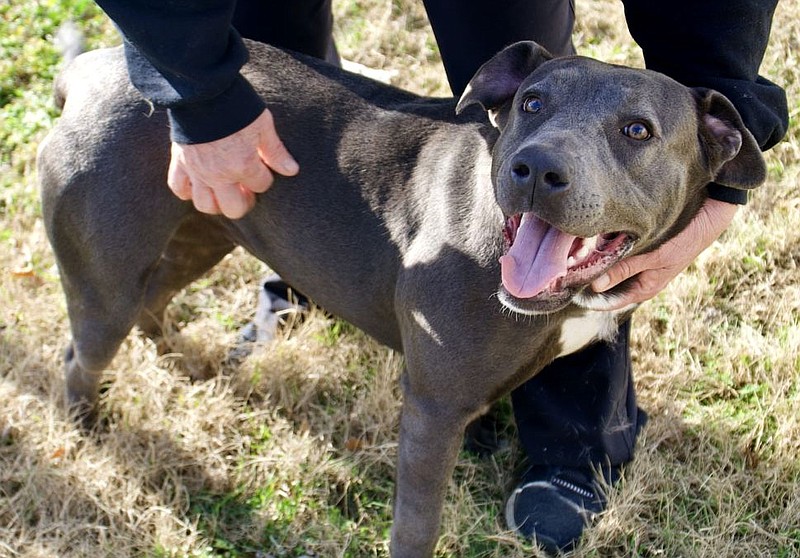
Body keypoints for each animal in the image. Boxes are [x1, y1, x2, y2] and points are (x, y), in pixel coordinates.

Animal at [40, 41, 764, 556]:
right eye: (531, 104)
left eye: (638, 131)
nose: (536, 168)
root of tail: (89, 70)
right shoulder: (431, 413)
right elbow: (417, 526)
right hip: (106, 279)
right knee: (85, 352)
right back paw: (87, 434)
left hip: (203, 231)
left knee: (154, 301)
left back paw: (188, 364)